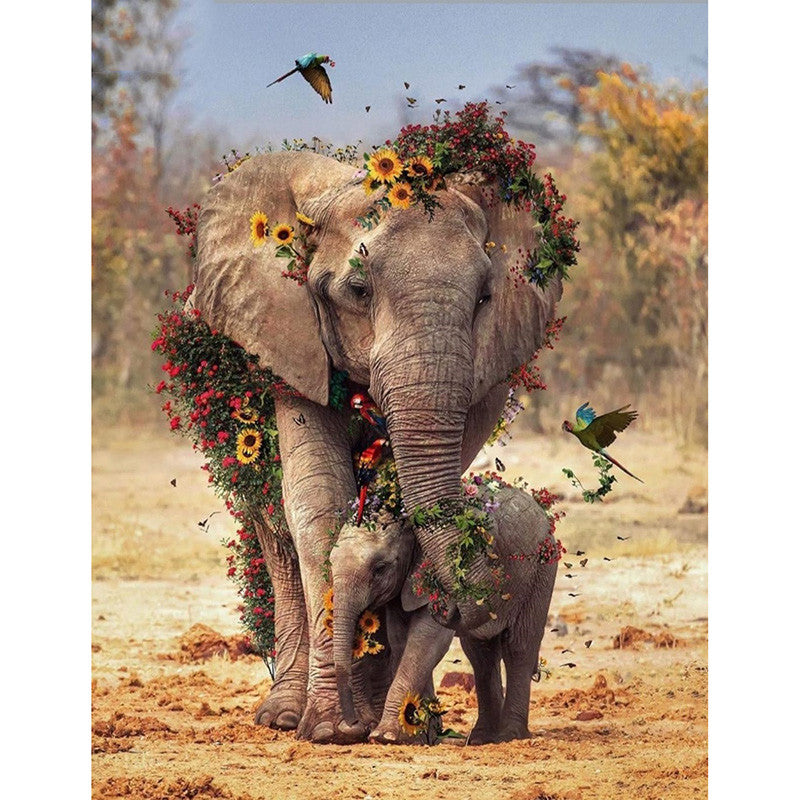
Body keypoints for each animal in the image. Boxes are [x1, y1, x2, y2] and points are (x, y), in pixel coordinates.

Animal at [330, 484, 558, 744]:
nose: (353, 726)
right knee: (481, 654)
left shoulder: (440, 581)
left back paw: (510, 735)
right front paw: (417, 735)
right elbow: (402, 643)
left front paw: (384, 736)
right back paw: (481, 738)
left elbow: (426, 642)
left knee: (519, 646)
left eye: (380, 568)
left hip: (540, 570)